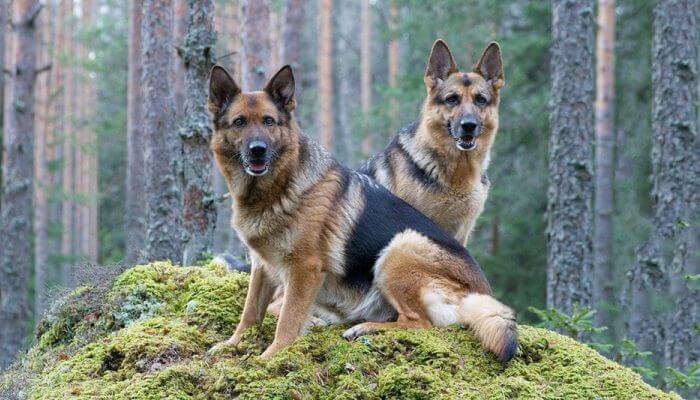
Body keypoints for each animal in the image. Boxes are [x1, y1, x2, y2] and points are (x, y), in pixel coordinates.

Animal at [205, 64, 516, 360]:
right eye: (239, 122)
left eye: (269, 121)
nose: (257, 150)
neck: (278, 188)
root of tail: (480, 294)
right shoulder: (262, 266)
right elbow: (250, 313)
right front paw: (232, 344)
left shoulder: (304, 270)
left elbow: (287, 321)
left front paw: (270, 356)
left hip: (400, 248)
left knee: (420, 322)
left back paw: (366, 328)